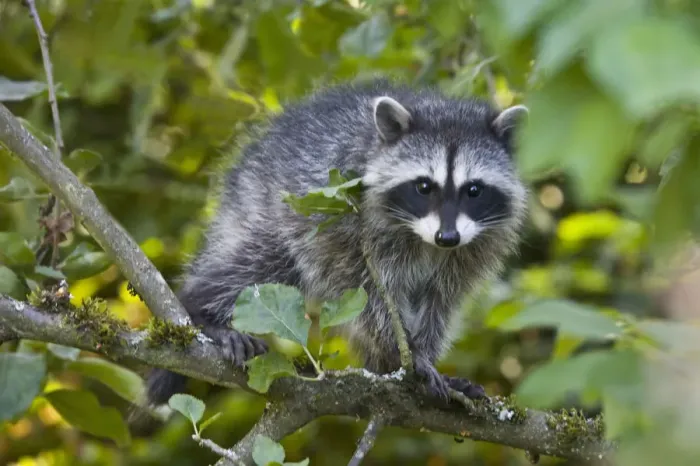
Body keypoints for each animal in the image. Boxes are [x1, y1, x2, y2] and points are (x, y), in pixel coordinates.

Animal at [146, 79, 528, 405]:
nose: (447, 237)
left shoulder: (470, 250)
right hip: (269, 206)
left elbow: (440, 301)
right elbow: (366, 293)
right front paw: (405, 351)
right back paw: (203, 311)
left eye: (473, 190)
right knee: (257, 263)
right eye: (423, 186)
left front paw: (422, 353)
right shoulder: (346, 226)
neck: (426, 242)